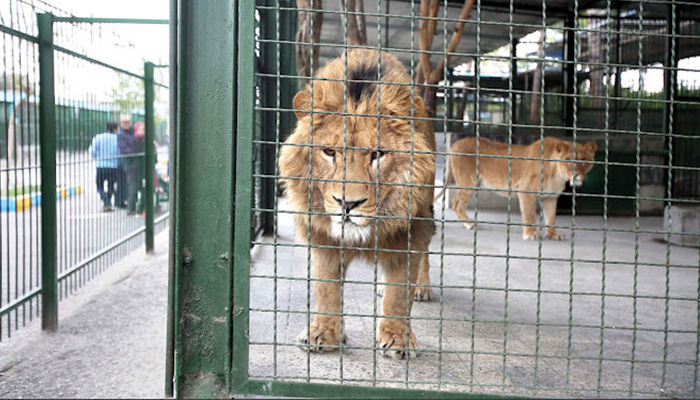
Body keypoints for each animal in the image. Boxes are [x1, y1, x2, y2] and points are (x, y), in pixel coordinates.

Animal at [278, 48, 432, 358]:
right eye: (329, 152)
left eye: (377, 154)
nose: (347, 204)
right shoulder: (322, 235)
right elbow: (325, 288)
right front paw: (323, 333)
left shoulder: (410, 232)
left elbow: (400, 292)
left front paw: (398, 338)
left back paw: (422, 288)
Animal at [438, 134, 596, 241]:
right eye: (568, 160)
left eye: (584, 160)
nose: (576, 174)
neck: (558, 174)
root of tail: (455, 144)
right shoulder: (525, 189)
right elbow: (529, 214)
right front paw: (530, 234)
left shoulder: (551, 196)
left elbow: (551, 218)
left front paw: (552, 234)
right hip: (468, 183)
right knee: (457, 203)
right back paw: (469, 224)